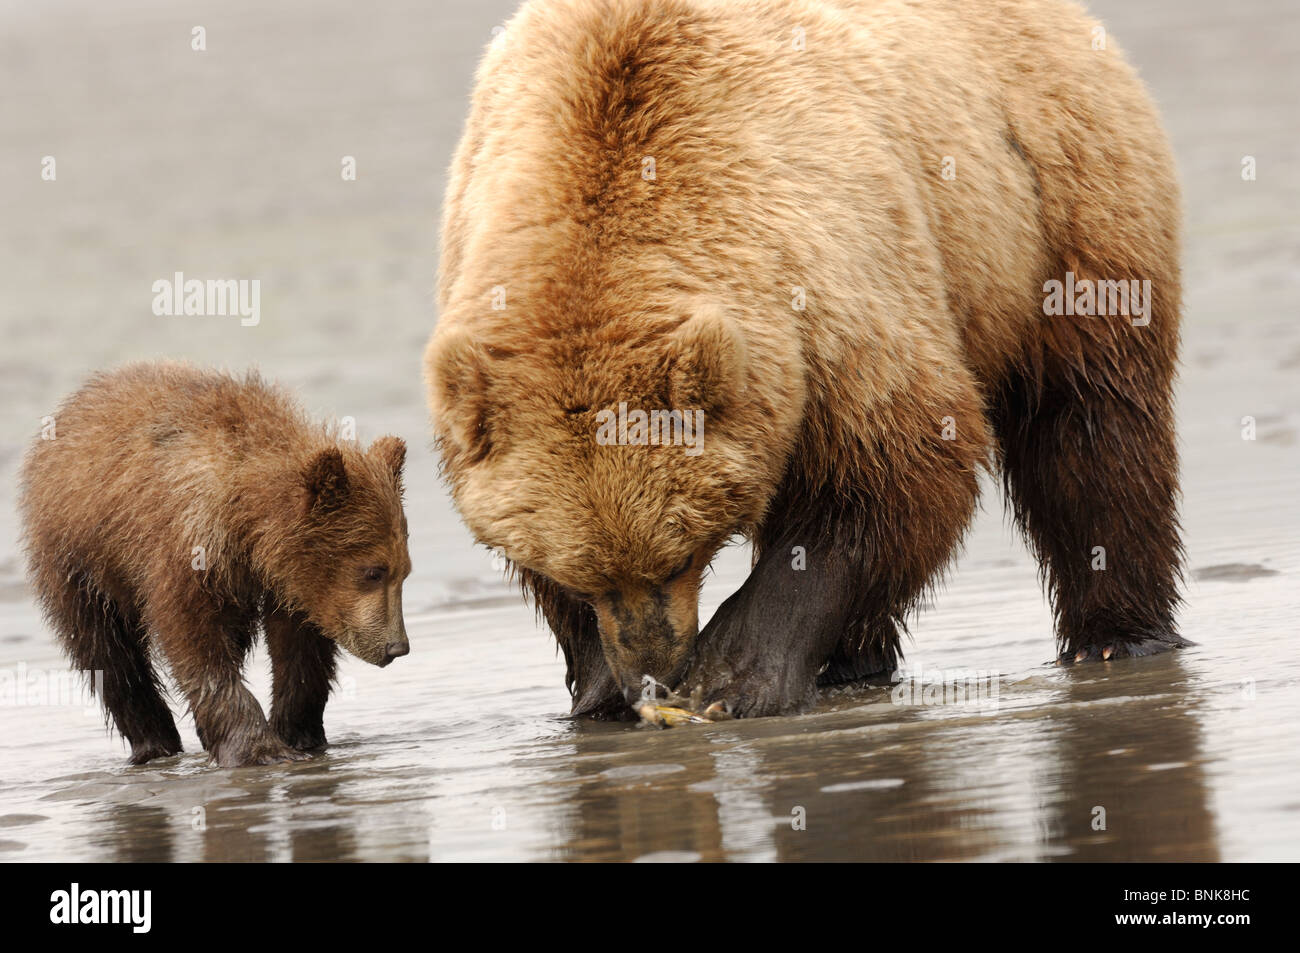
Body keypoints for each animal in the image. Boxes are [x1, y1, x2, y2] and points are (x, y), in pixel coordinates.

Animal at [18, 362, 412, 766]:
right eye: (373, 572)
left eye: (403, 572)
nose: (397, 647)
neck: (246, 522)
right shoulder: (185, 546)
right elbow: (196, 641)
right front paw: (259, 747)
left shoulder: (290, 582)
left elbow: (300, 650)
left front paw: (298, 734)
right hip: (78, 555)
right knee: (106, 650)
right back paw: (153, 741)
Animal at [425, 0, 1187, 719]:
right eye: (586, 572)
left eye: (682, 551)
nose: (654, 664)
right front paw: (603, 685)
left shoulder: (825, 274)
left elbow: (890, 463)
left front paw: (731, 675)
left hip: (1052, 206)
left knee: (1090, 425)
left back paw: (1117, 634)